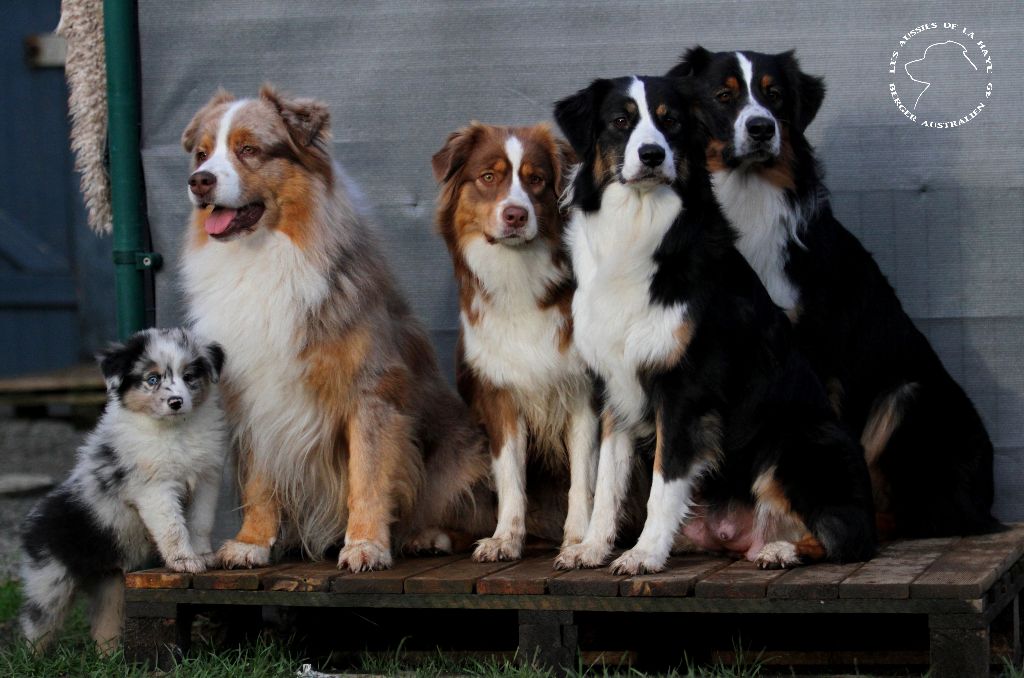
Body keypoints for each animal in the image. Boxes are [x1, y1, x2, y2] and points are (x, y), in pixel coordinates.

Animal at [19, 329, 228, 655]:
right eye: (152, 379)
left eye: (189, 376)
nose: (176, 401)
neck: (176, 430)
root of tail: (32, 519)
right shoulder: (154, 488)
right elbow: (172, 527)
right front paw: (185, 561)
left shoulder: (207, 478)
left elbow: (200, 522)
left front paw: (204, 556)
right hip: (49, 581)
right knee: (37, 624)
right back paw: (32, 659)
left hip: (111, 585)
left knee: (104, 627)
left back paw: (109, 657)